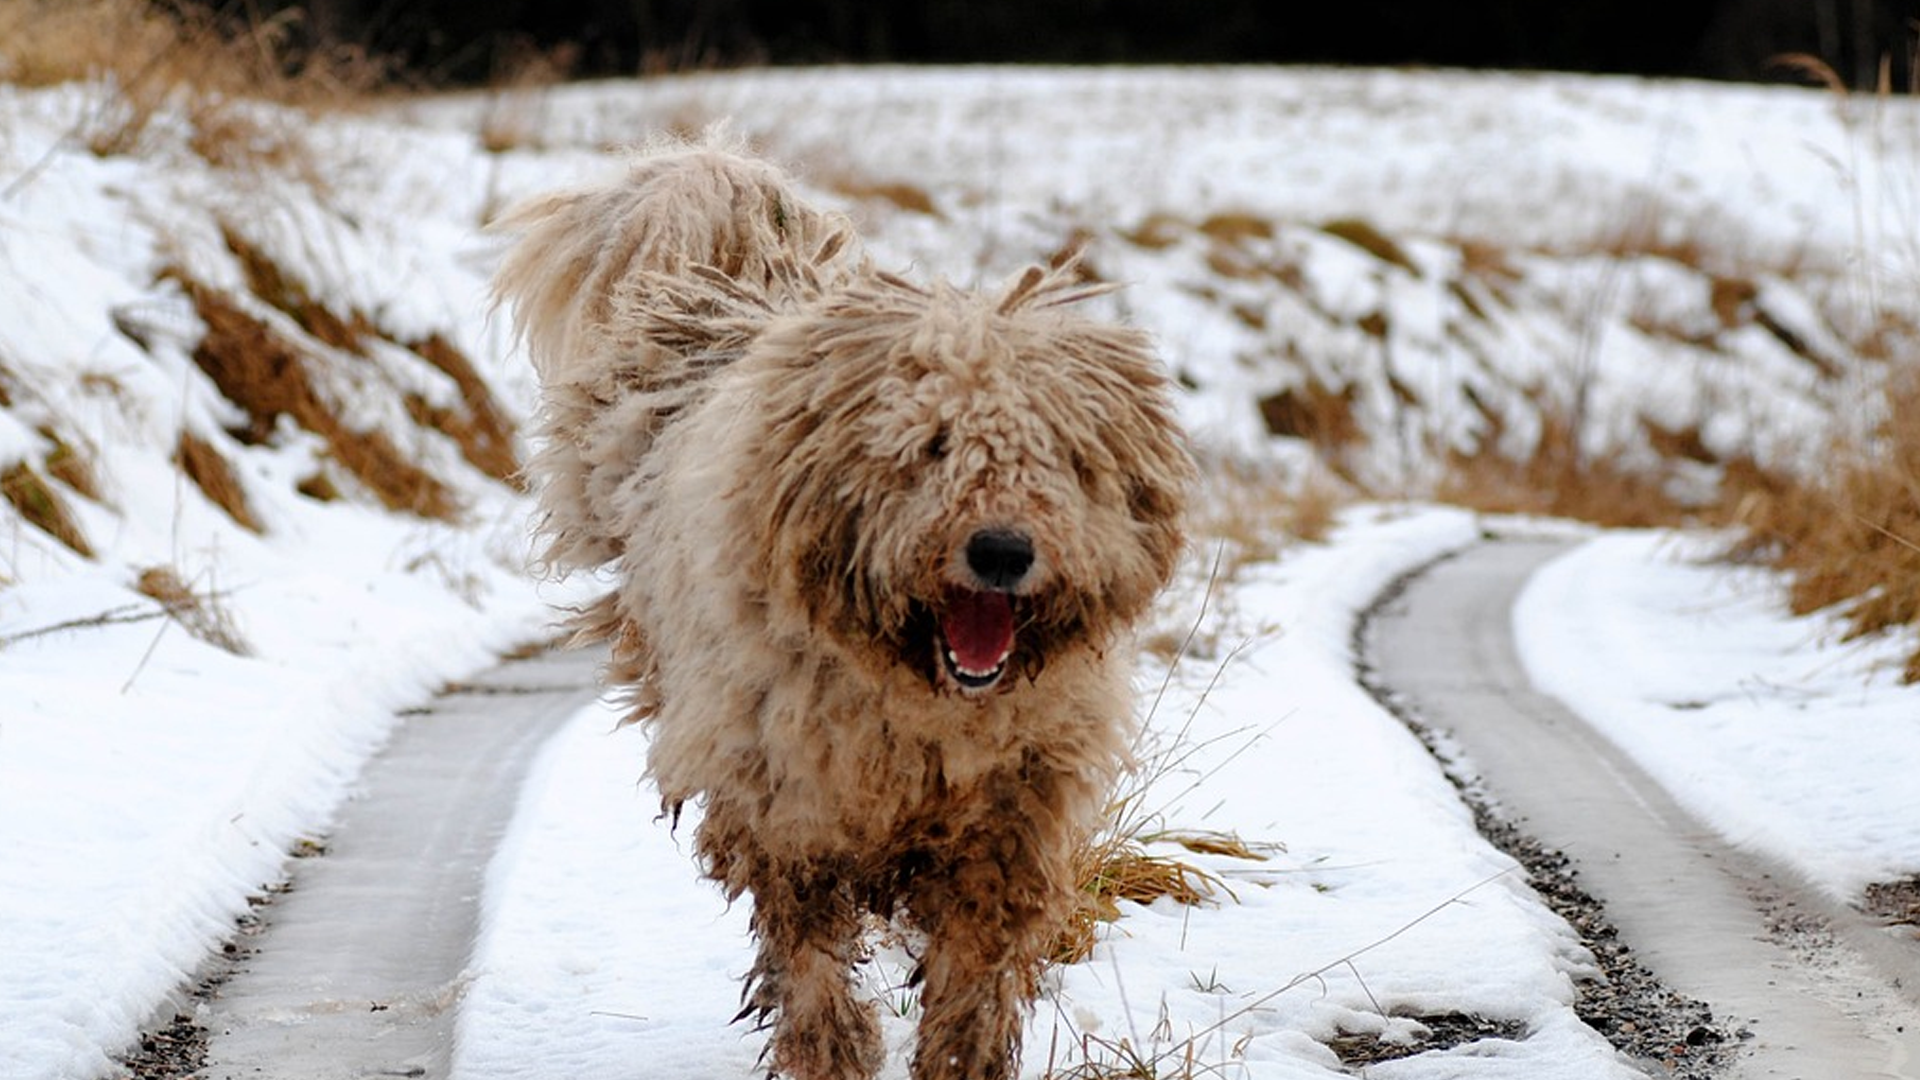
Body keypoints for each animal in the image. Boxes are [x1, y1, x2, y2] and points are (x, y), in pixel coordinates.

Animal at [491, 143, 1182, 1076]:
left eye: (1057, 455)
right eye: (929, 447)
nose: (1002, 551)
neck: (922, 697)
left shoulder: (1011, 817)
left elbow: (976, 971)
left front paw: (963, 1053)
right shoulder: (784, 802)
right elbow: (808, 951)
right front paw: (833, 1047)